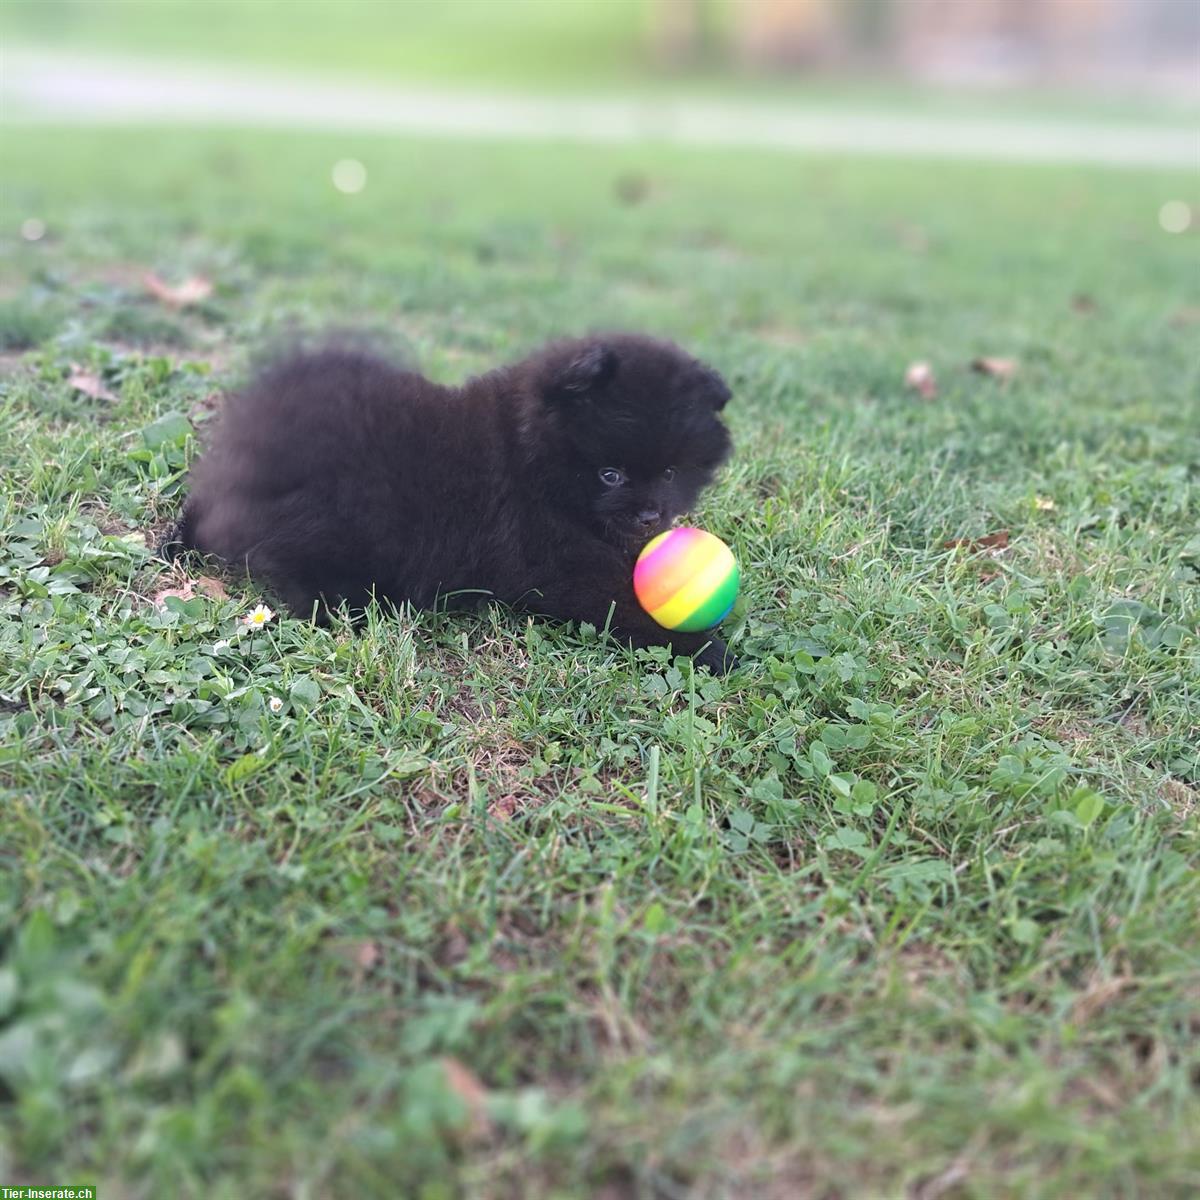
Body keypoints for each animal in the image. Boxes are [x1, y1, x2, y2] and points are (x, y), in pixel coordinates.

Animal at [172, 336, 734, 676]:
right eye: (609, 474)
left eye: (670, 473)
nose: (651, 516)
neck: (528, 458)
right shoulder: (550, 558)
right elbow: (618, 597)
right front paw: (704, 646)